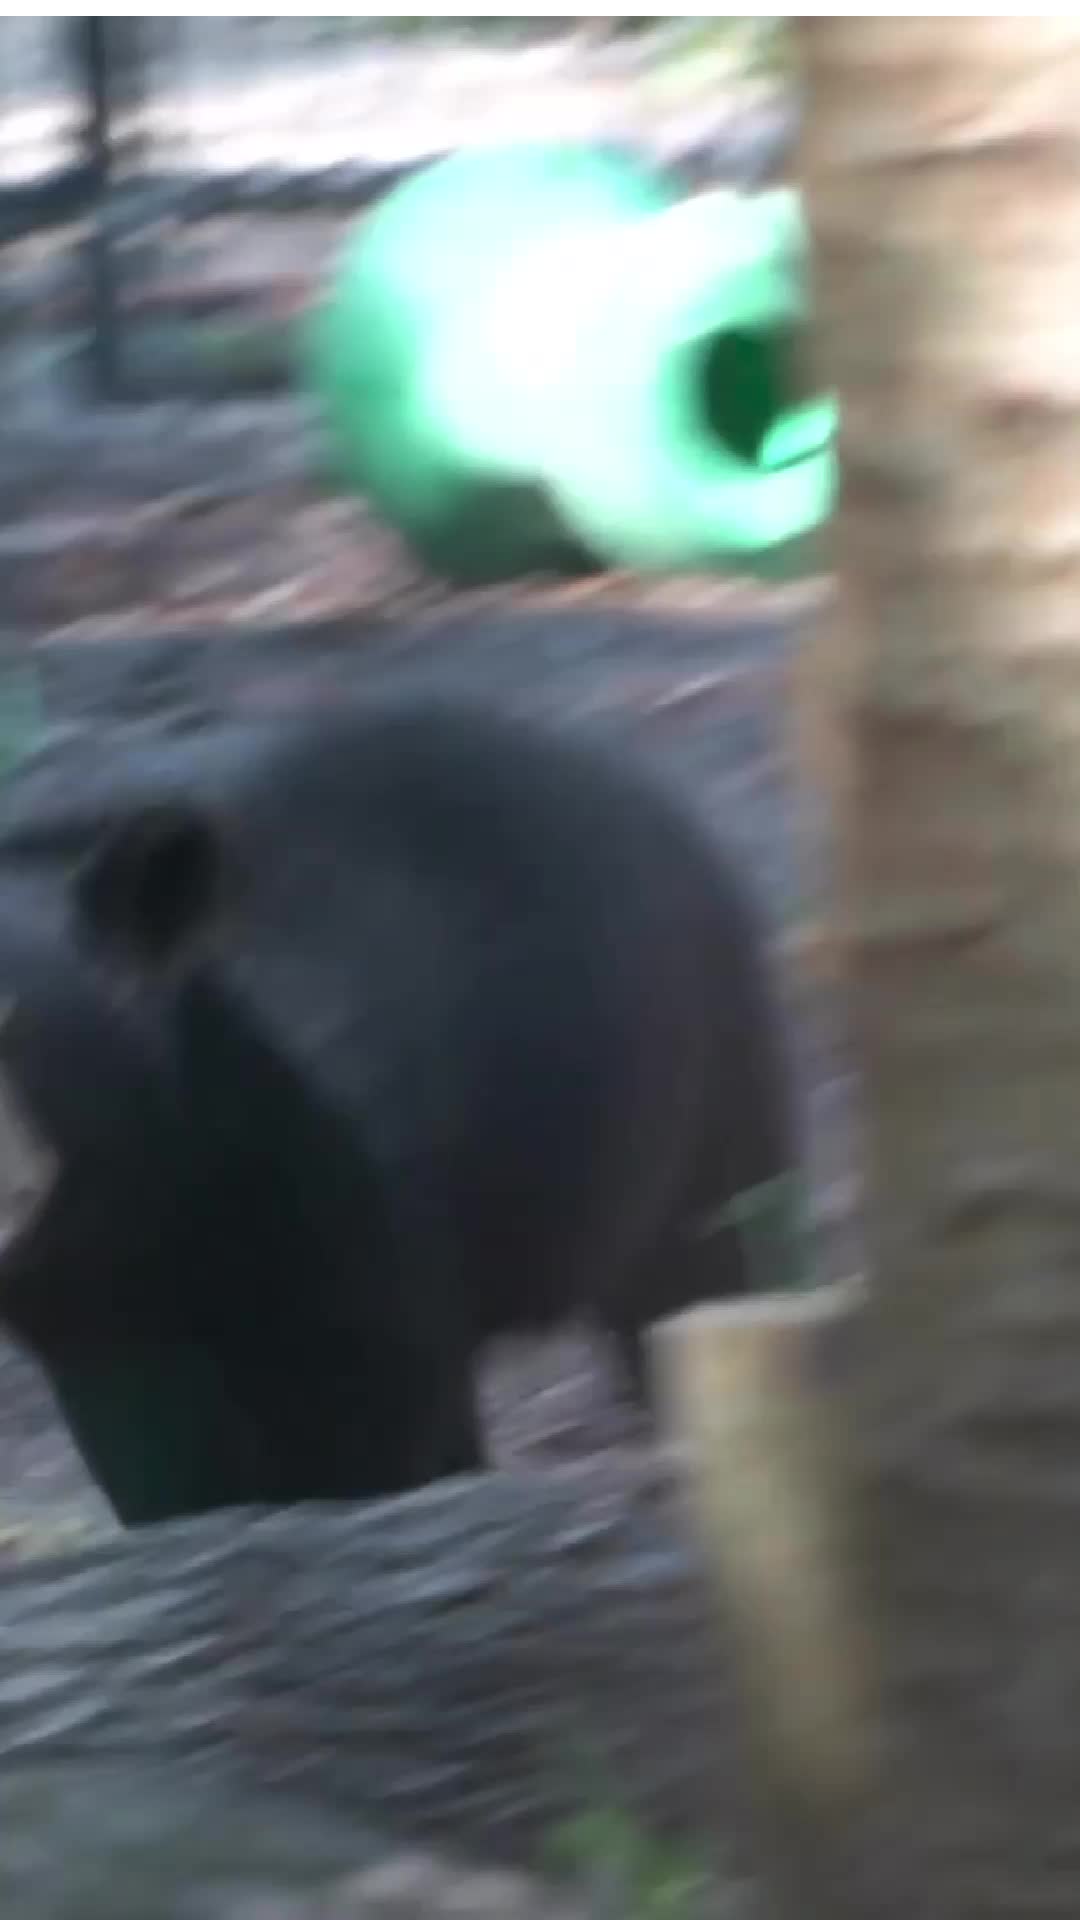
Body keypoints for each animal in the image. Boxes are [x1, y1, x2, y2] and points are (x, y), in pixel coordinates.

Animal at [0, 694, 799, 1525]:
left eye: (11, 1022)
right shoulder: (93, 1314)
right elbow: (152, 1445)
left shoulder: (345, 1179)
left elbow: (373, 1404)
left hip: (694, 1067)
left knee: (714, 1254)